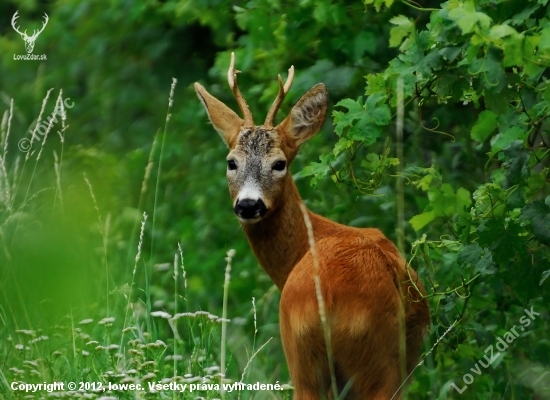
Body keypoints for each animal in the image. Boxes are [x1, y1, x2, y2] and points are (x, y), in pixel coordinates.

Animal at [196, 54, 434, 400]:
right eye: (232, 162)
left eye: (279, 164)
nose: (249, 204)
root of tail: (329, 306)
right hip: (374, 363)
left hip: (304, 356)